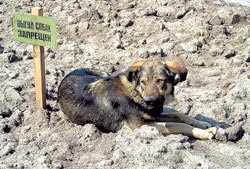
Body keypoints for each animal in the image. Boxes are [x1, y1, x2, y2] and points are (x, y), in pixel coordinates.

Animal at [58, 60, 217, 139]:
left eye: (160, 81)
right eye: (143, 82)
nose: (149, 101)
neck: (136, 93)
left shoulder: (153, 115)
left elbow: (177, 114)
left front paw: (202, 123)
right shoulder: (140, 125)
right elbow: (176, 125)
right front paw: (205, 133)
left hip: (102, 73)